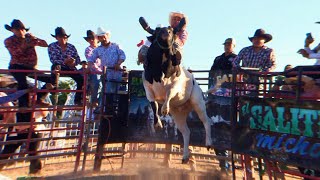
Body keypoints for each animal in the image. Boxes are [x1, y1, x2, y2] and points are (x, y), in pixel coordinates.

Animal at [139, 16, 211, 163]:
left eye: (172, 30)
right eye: (157, 31)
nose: (166, 32)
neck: (161, 69)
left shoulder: (176, 85)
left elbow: (169, 93)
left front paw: (165, 109)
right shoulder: (148, 88)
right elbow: (154, 105)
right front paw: (158, 123)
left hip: (198, 103)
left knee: (206, 121)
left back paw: (208, 143)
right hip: (178, 115)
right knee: (186, 132)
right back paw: (185, 156)